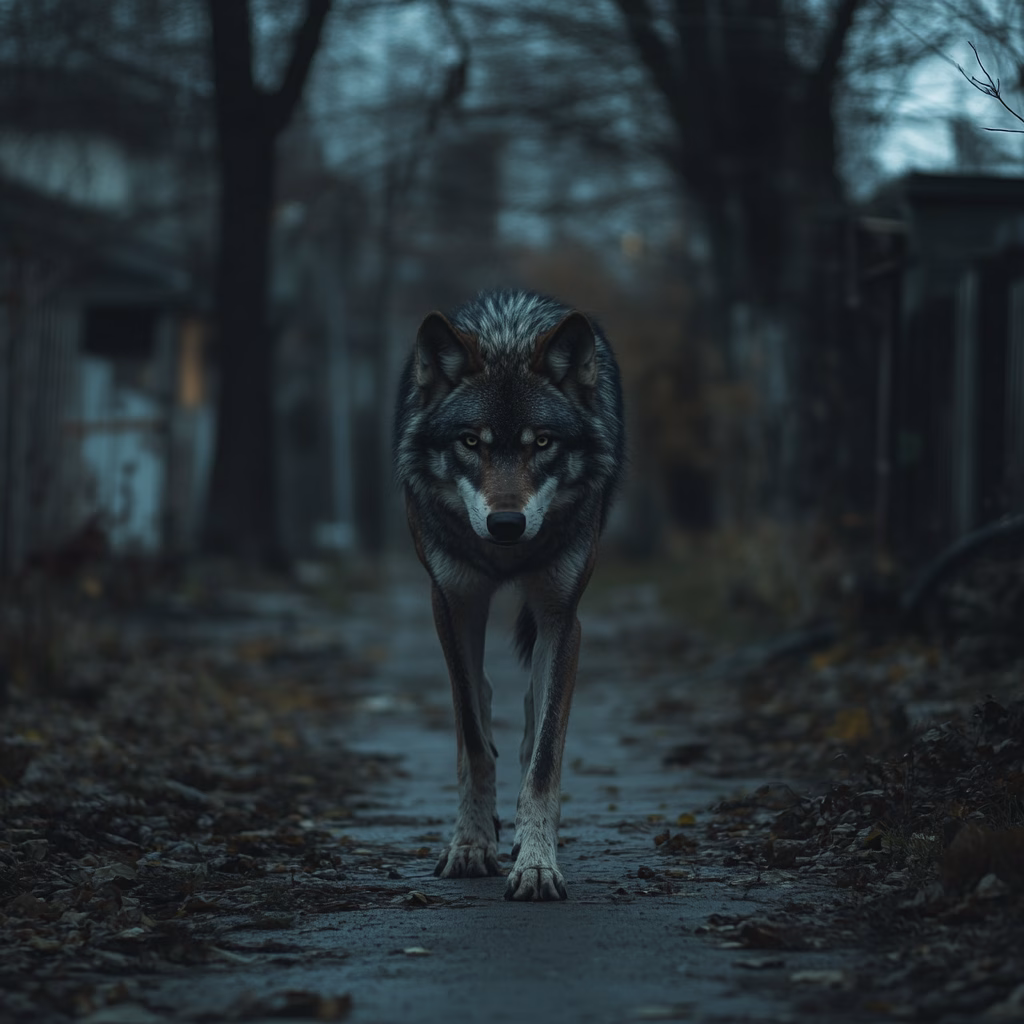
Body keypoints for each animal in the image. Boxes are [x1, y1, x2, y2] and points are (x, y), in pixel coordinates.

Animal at [393, 289, 625, 901]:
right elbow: (474, 742)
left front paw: (537, 863)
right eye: (470, 441)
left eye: (541, 442)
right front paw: (472, 845)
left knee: (527, 716)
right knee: (478, 700)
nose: (505, 523)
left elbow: (543, 760)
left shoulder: (563, 616)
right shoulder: (453, 603)